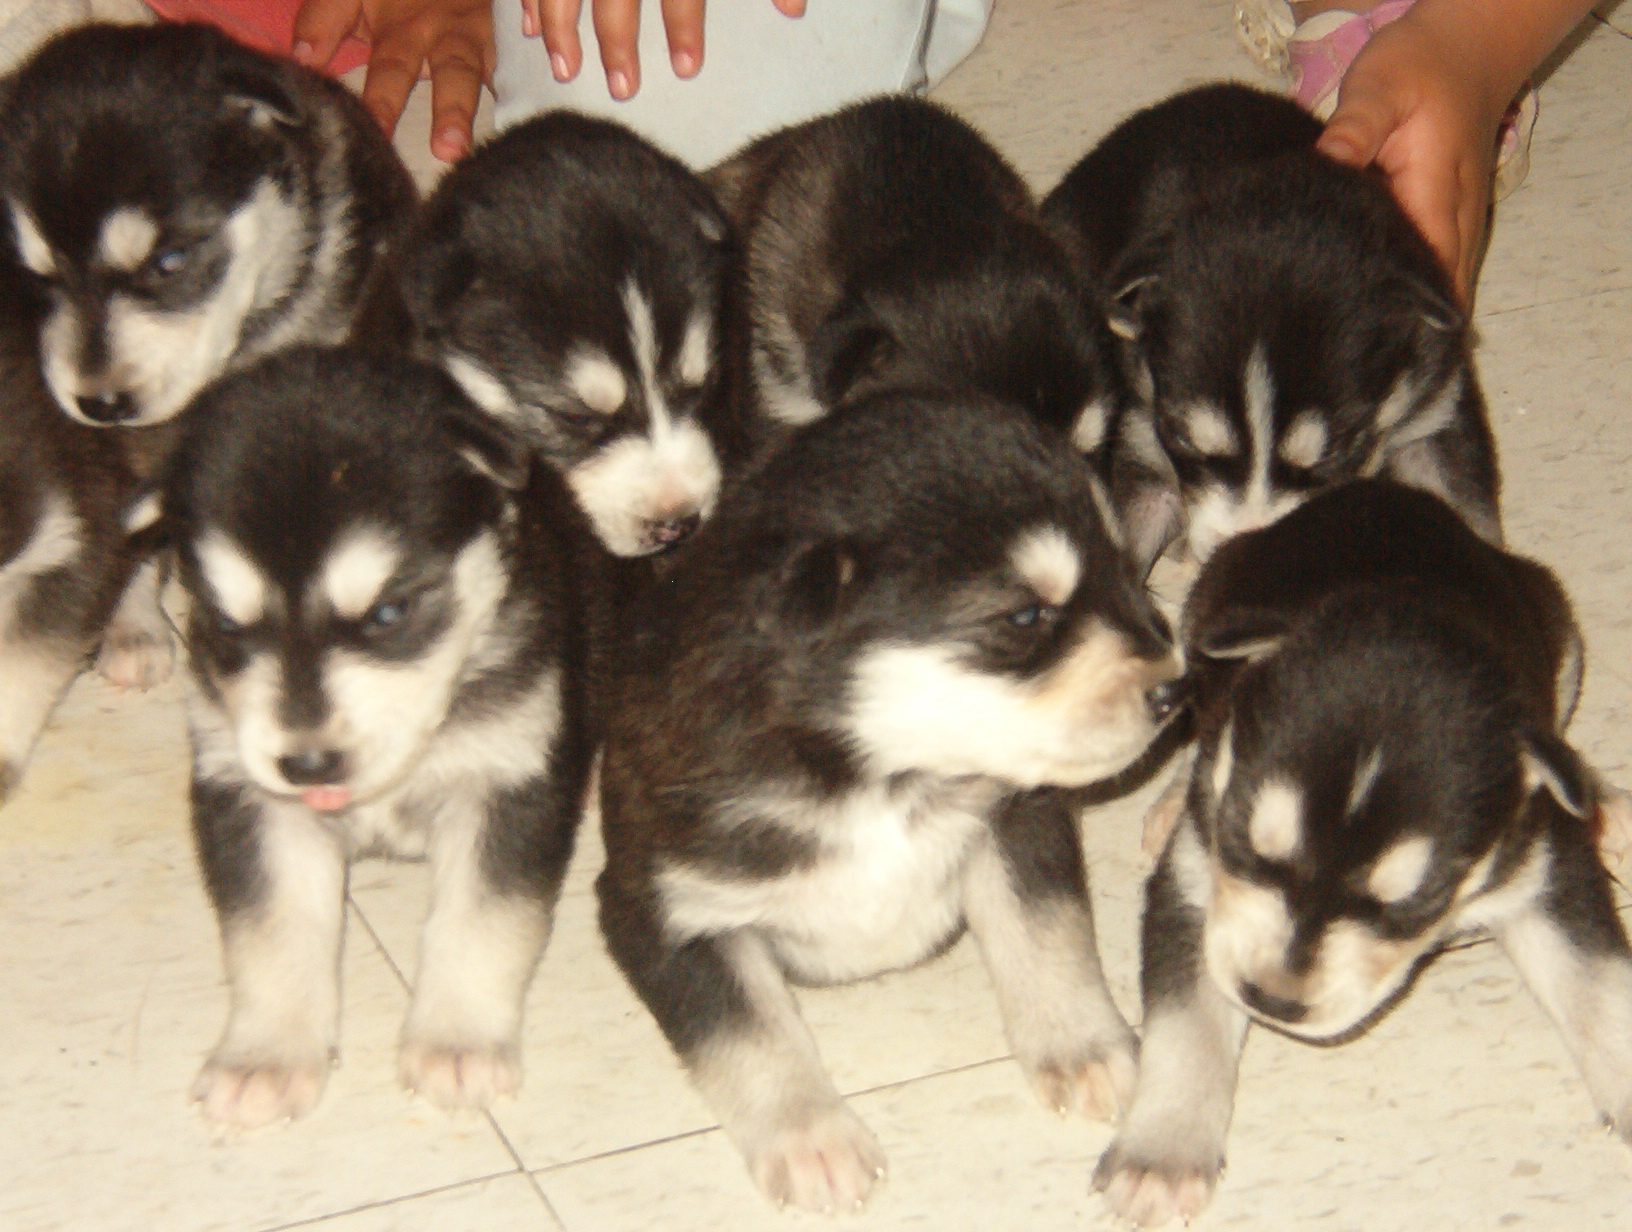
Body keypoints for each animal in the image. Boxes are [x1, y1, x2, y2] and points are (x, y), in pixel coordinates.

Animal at [154, 349, 594, 1135]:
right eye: (228, 626)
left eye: (389, 612)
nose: (306, 763)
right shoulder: (250, 798)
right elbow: (271, 930)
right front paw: (266, 1057)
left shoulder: (511, 780)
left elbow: (483, 919)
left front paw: (458, 1043)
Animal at [600, 393, 1188, 1214]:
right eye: (1024, 619)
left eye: (1129, 572)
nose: (1176, 690)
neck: (875, 774)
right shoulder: (663, 909)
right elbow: (748, 1031)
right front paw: (811, 1140)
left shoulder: (1016, 819)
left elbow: (1047, 937)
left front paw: (1083, 1048)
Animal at [1037, 84, 1494, 574]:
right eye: (1183, 439)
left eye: (1335, 453)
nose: (1242, 551)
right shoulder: (1142, 438)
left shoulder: (1437, 413)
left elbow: (1471, 511)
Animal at [1096, 479, 1632, 1227]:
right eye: (1244, 845)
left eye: (1412, 906)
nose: (1273, 999)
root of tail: (1389, 489)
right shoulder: (1195, 883)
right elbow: (1186, 1026)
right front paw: (1162, 1156)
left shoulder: (1548, 864)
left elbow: (1598, 984)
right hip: (1211, 607)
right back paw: (1173, 794)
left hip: (1558, 626)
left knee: (1561, 741)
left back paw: (1602, 797)